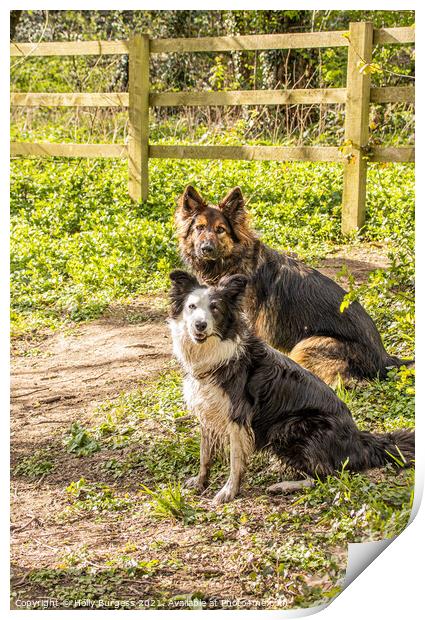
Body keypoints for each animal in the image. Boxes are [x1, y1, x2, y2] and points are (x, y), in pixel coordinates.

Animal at [167, 272, 412, 504]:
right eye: (191, 307)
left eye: (215, 308)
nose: (200, 325)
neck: (214, 351)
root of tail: (358, 439)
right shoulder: (207, 409)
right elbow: (204, 454)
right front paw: (200, 481)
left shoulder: (238, 416)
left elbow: (235, 461)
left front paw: (228, 492)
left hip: (288, 427)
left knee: (326, 475)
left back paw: (283, 485)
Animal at [174, 185, 412, 388]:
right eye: (199, 228)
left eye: (220, 230)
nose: (206, 248)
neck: (233, 263)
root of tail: (384, 358)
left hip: (308, 344)